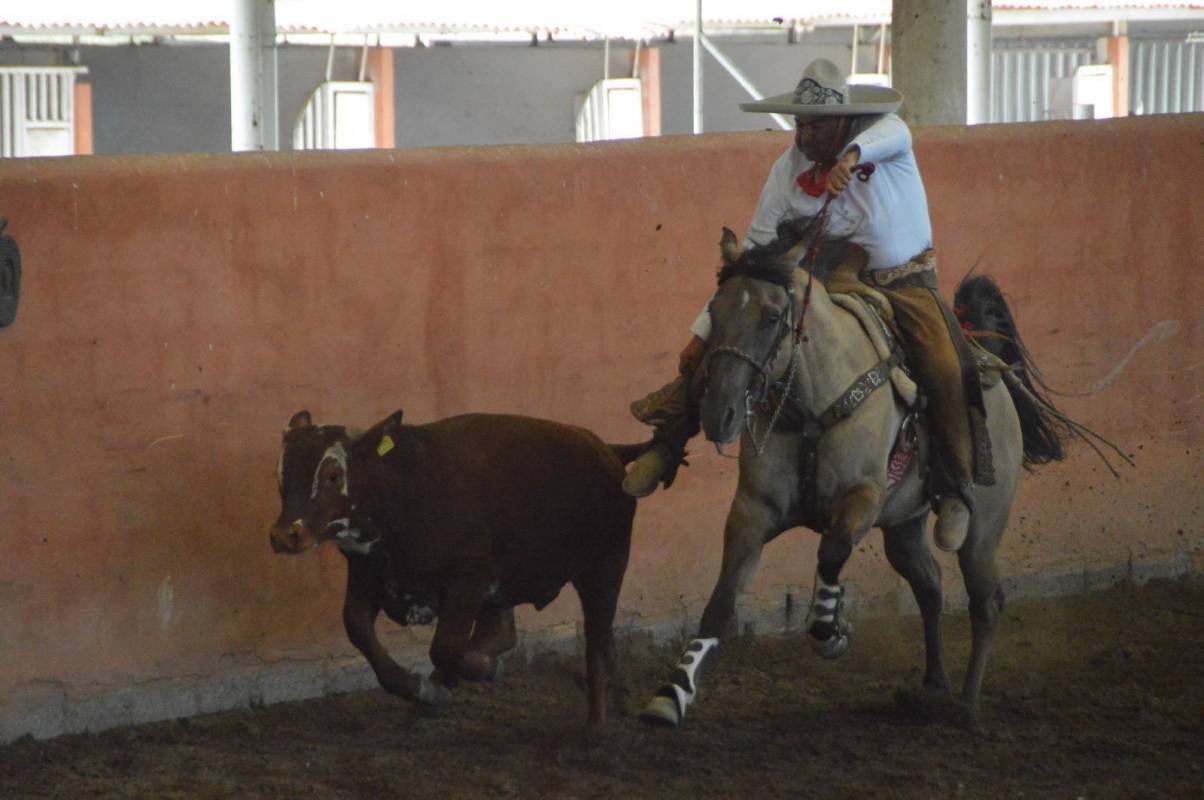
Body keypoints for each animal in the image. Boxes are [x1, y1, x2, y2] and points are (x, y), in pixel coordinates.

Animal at [270, 409, 650, 722]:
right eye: (280, 475)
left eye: (333, 475)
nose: (285, 535)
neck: (405, 493)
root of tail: (607, 449)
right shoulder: (367, 574)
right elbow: (358, 629)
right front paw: (422, 689)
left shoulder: (469, 579)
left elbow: (447, 647)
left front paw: (480, 671)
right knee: (508, 631)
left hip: (605, 568)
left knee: (597, 640)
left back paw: (597, 722)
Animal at [645, 221, 1069, 727]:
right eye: (714, 310)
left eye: (772, 317)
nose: (718, 414)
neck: (811, 403)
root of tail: (994, 369)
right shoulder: (753, 509)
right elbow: (722, 600)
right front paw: (673, 692)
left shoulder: (863, 497)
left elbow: (831, 551)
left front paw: (831, 629)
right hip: (903, 526)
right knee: (930, 587)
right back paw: (931, 687)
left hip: (983, 528)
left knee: (986, 601)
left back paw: (966, 705)